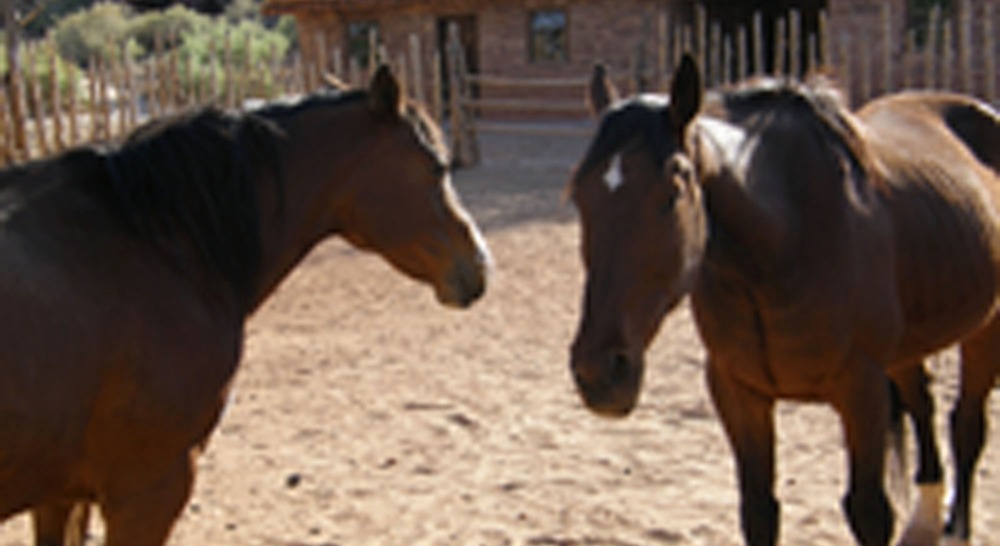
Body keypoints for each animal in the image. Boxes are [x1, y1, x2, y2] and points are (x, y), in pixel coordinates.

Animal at [567, 53, 1000, 546]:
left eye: (672, 193)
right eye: (578, 195)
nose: (599, 372)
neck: (786, 244)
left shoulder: (862, 390)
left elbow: (869, 512)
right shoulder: (738, 391)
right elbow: (759, 510)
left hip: (985, 331)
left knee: (966, 427)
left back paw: (956, 527)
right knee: (924, 406)